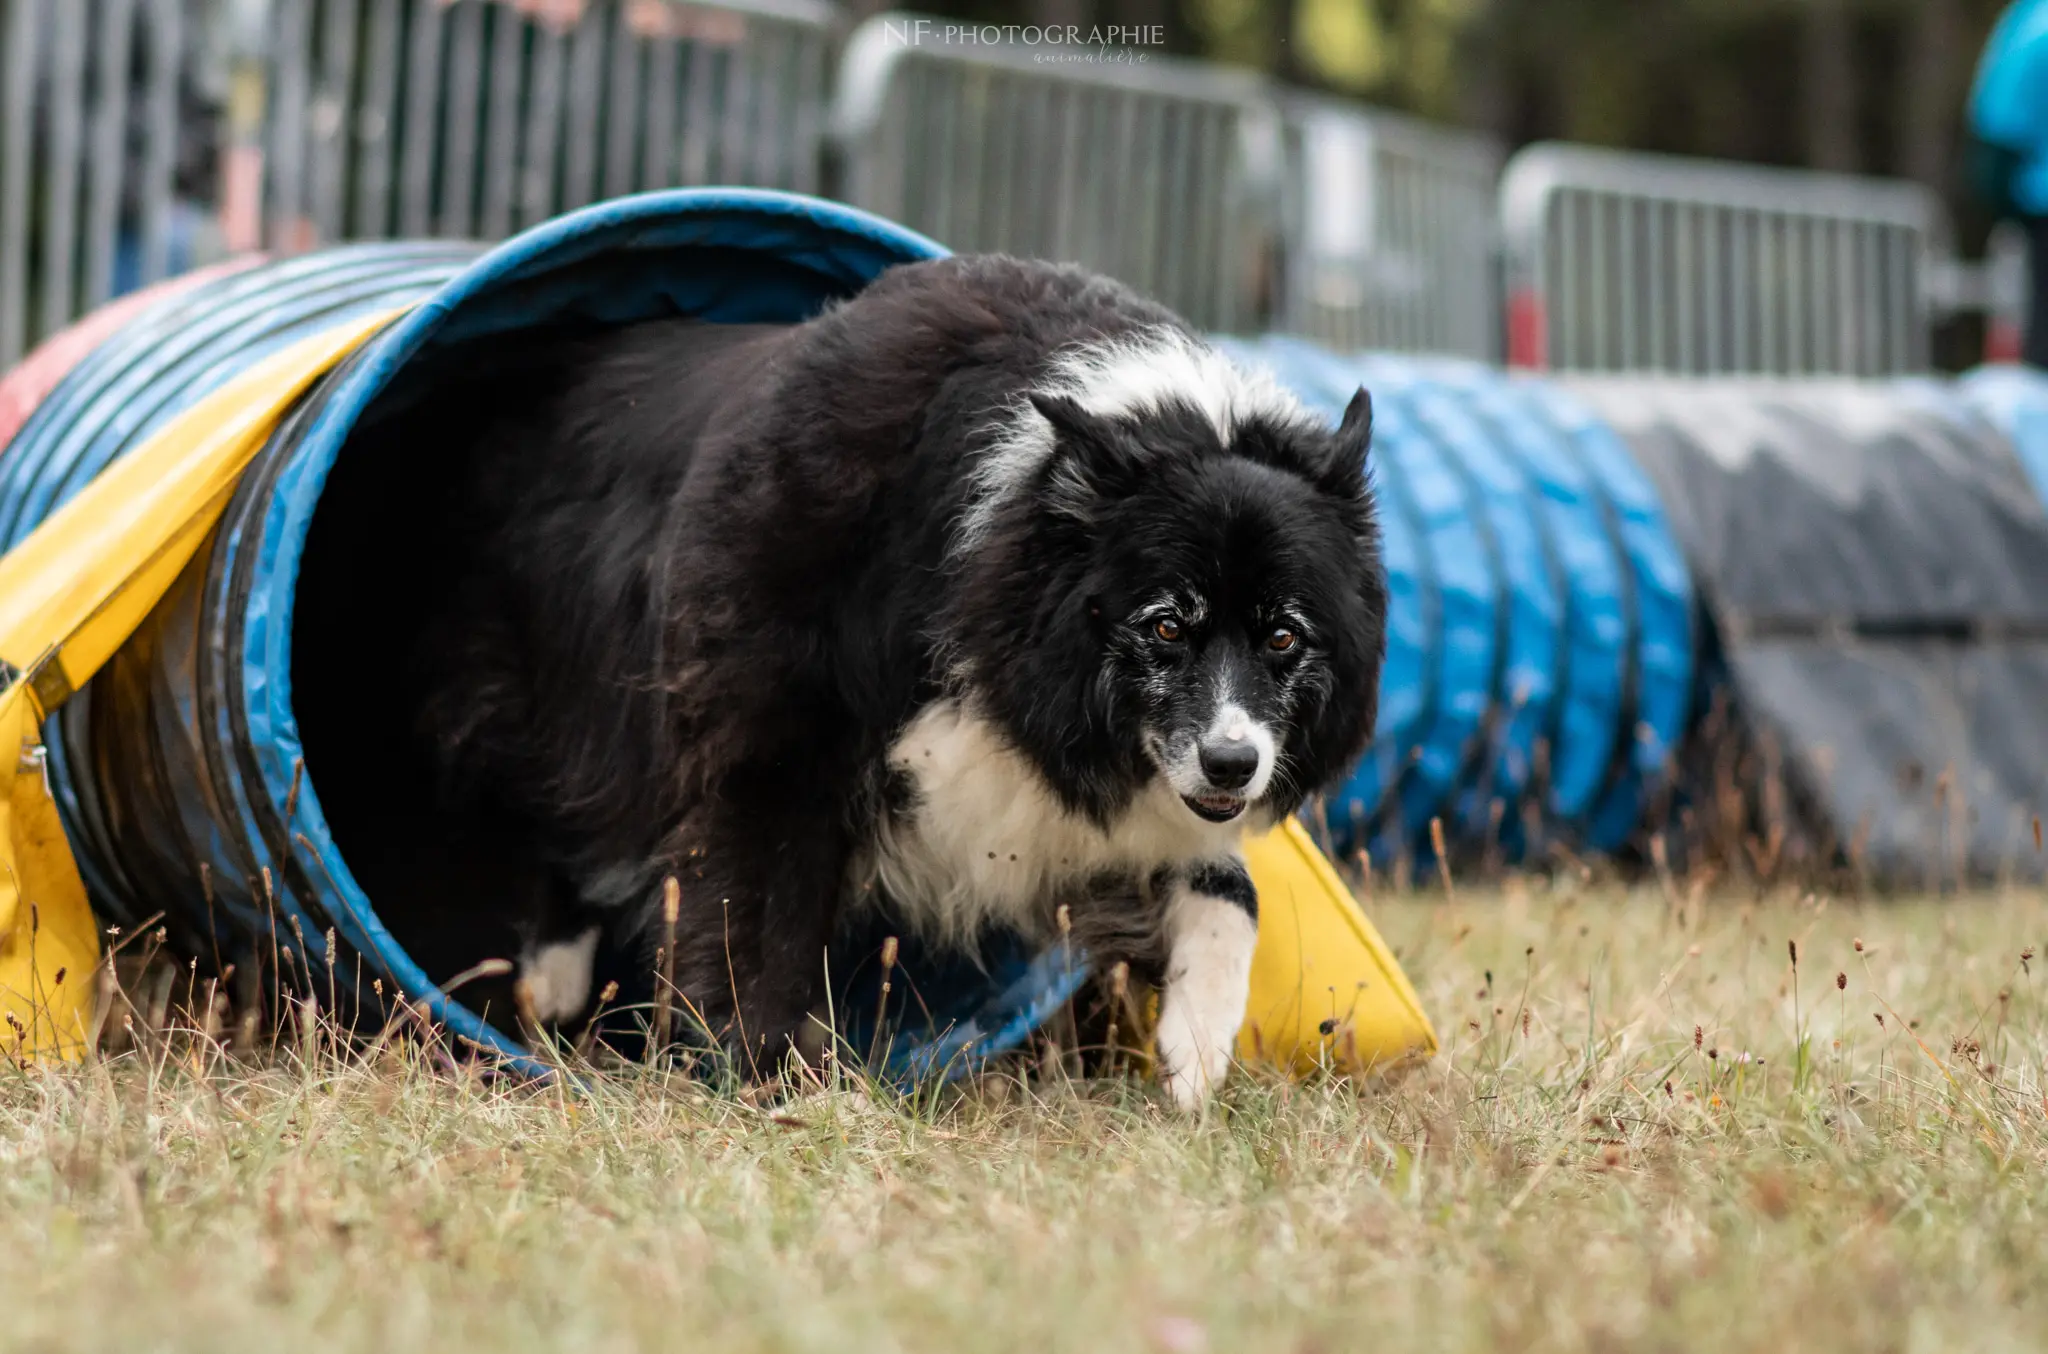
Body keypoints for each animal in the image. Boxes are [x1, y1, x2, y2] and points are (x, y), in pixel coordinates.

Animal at [407, 256, 1384, 1106]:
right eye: (1167, 626)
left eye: (1284, 638)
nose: (1233, 766)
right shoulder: (772, 751)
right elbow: (760, 927)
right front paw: (761, 1084)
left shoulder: (1065, 792)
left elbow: (1227, 886)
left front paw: (1196, 1046)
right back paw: (545, 987)